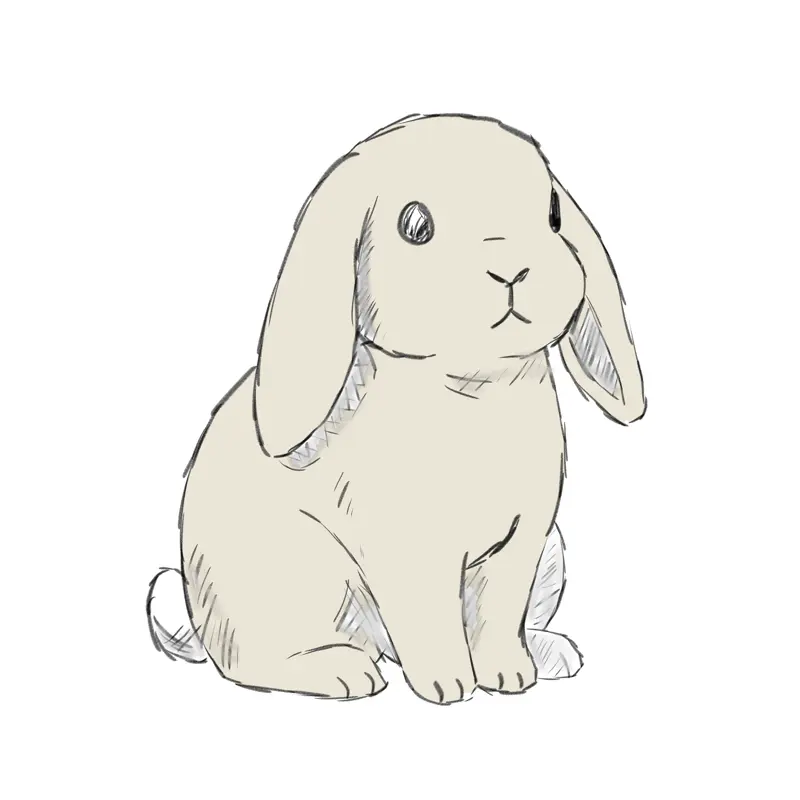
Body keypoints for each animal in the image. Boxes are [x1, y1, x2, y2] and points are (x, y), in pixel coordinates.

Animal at [146, 113, 645, 704]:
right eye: (414, 224)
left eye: (552, 213)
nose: (512, 268)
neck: (476, 385)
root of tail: (198, 621)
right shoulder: (409, 553)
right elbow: (429, 618)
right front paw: (449, 686)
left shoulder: (520, 544)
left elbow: (498, 616)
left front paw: (509, 677)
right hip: (304, 576)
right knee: (252, 662)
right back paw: (344, 672)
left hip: (552, 554)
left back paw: (554, 653)